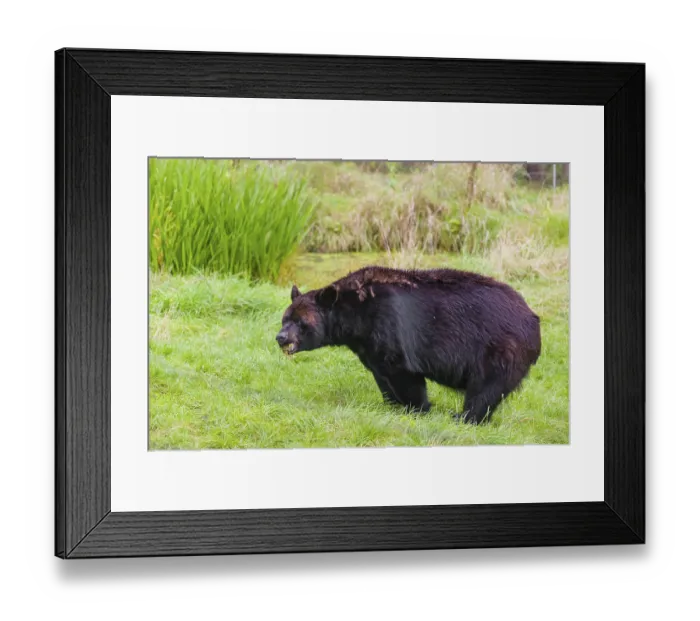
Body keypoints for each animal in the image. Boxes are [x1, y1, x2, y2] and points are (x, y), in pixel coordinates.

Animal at [276, 266, 541, 425]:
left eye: (300, 322)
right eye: (285, 318)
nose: (281, 337)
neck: (357, 313)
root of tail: (533, 320)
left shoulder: (390, 327)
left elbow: (404, 373)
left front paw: (417, 409)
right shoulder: (368, 346)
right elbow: (381, 374)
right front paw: (390, 405)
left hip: (500, 348)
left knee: (485, 388)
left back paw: (463, 417)